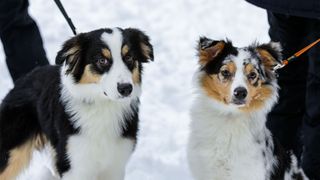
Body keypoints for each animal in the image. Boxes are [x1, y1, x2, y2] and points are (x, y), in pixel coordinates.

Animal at [0, 27, 154, 180]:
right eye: (102, 60)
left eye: (129, 57)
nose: (126, 88)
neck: (102, 106)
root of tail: (25, 78)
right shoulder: (74, 165)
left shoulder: (115, 165)